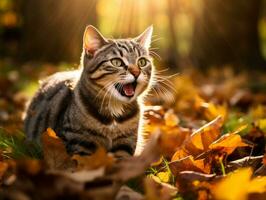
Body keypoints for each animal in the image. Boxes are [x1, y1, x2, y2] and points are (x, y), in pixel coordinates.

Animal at [24, 25, 155, 157]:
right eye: (116, 62)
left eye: (142, 62)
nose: (136, 73)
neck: (114, 109)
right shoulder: (79, 142)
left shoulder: (125, 145)